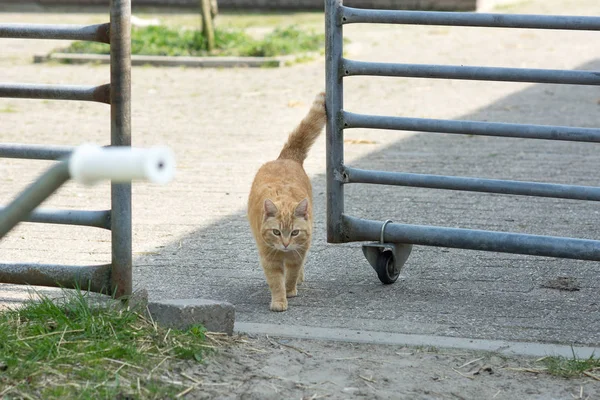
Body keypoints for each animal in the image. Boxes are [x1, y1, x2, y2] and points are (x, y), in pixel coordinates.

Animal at [246, 94, 326, 312]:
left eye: (295, 232)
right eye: (276, 232)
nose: (285, 243)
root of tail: (285, 158)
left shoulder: (298, 253)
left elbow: (291, 274)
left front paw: (290, 290)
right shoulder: (269, 258)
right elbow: (276, 281)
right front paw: (279, 300)